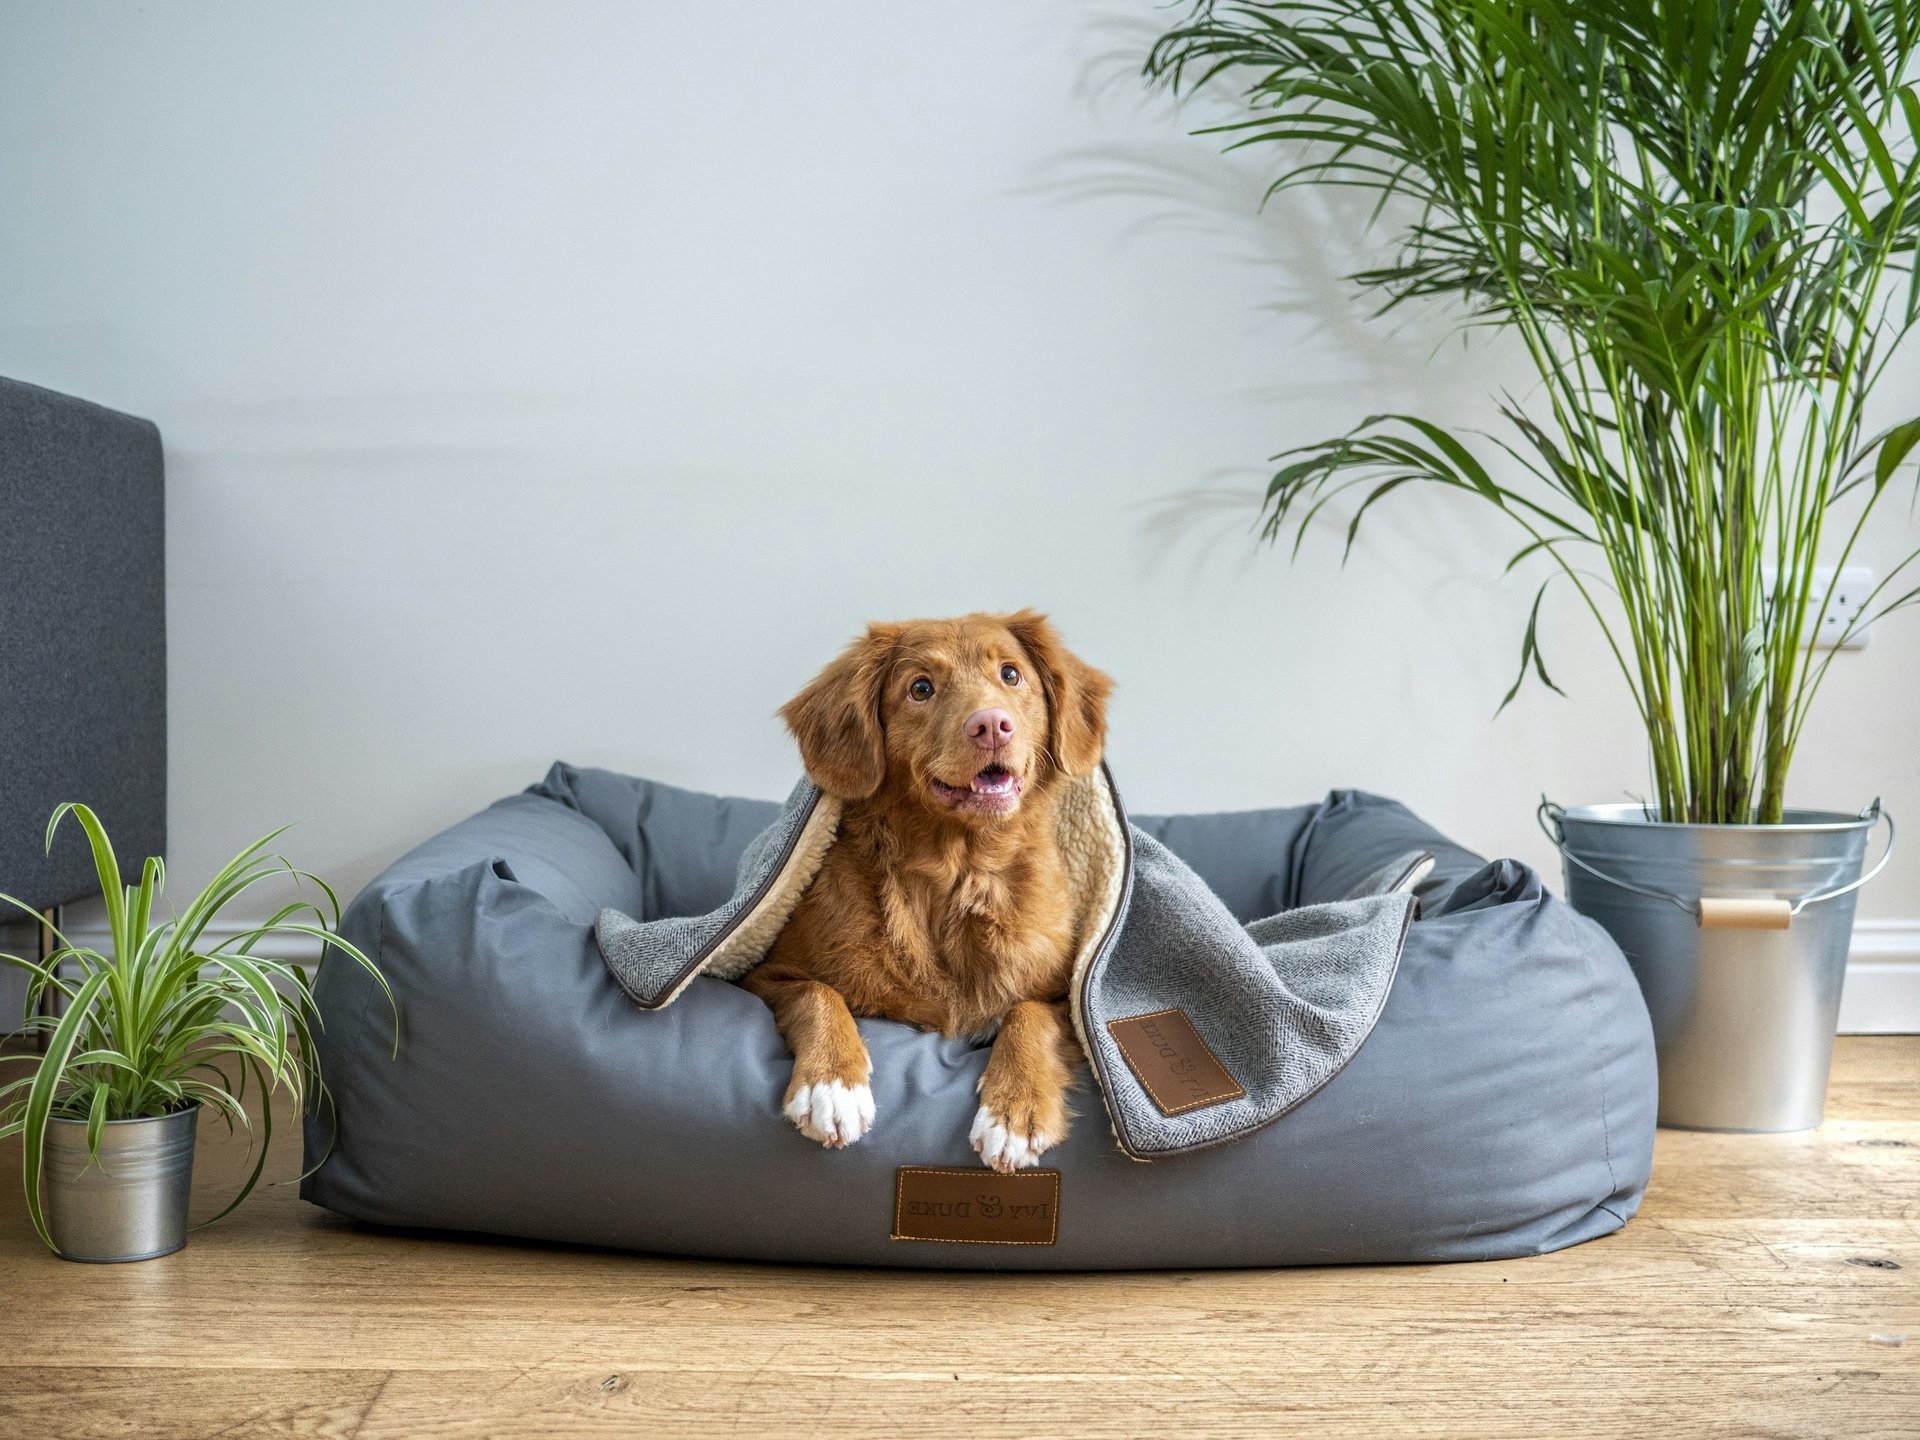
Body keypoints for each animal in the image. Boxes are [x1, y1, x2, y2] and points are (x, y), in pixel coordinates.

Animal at [741, 610, 1121, 1175]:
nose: (992, 725)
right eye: (920, 688)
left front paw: (1014, 1111)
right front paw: (833, 1085)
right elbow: (817, 993)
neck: (957, 872)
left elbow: (1029, 1014)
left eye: (1010, 675)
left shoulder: (1070, 998)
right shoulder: (765, 974)